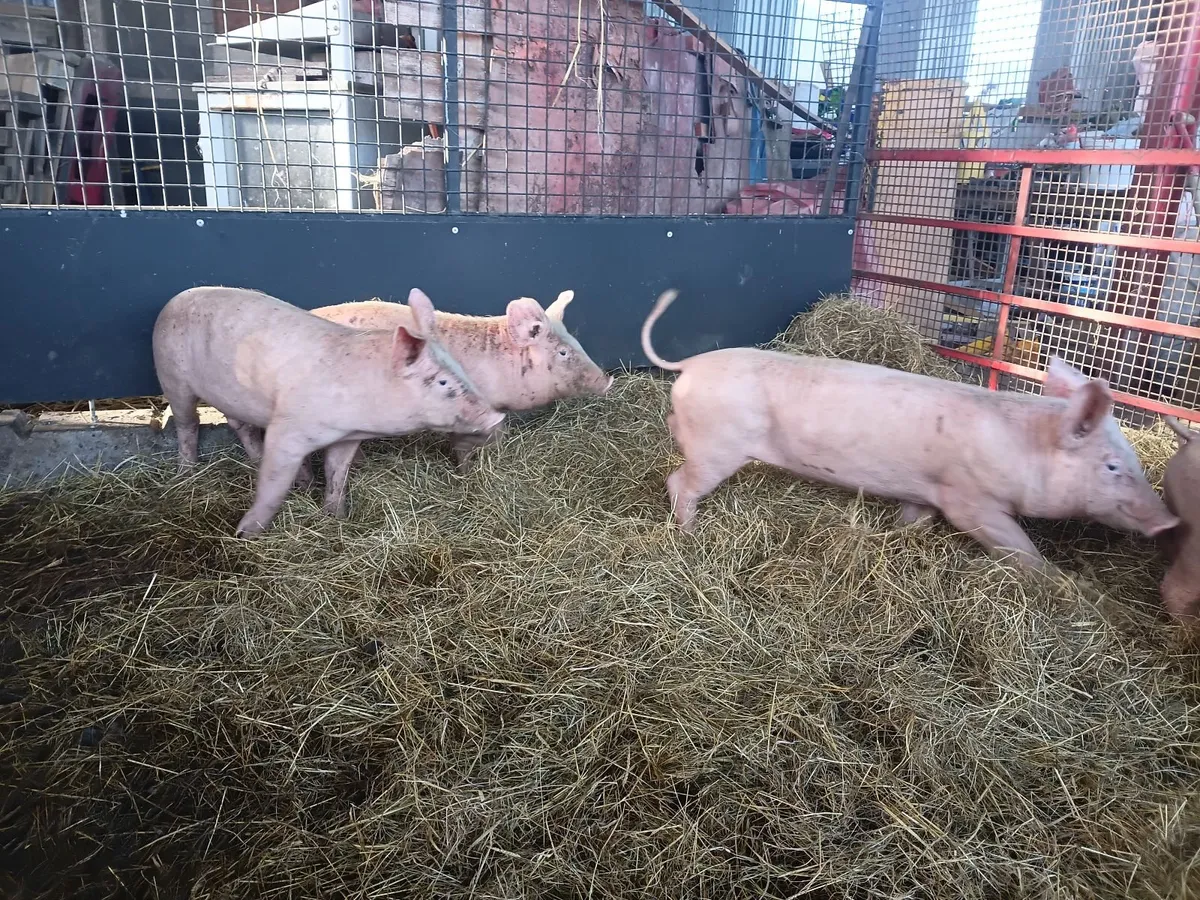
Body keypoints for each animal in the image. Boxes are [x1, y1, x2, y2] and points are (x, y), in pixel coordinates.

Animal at [153, 285, 504, 537]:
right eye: (442, 382)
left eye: (460, 369)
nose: (496, 415)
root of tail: (175, 299)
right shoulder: (287, 429)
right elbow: (273, 485)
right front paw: (245, 534)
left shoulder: (347, 437)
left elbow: (337, 472)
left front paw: (335, 516)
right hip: (172, 376)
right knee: (188, 423)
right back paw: (186, 473)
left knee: (240, 425)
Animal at [641, 289, 1178, 570]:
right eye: (1112, 466)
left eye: (1133, 458)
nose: (1170, 521)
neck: (1023, 448)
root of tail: (690, 366)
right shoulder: (970, 499)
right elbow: (1019, 549)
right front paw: (1060, 584)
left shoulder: (927, 490)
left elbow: (913, 518)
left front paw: (896, 536)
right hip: (717, 447)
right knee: (677, 481)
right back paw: (689, 534)